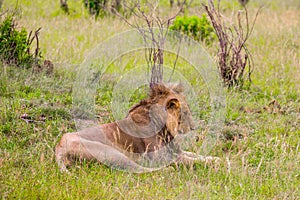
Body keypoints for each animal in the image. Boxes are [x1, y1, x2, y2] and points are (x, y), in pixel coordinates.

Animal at [54, 82, 218, 173]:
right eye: (185, 112)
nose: (194, 127)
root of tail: (59, 147)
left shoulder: (176, 152)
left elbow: (197, 155)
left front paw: (217, 158)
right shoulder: (161, 157)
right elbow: (193, 161)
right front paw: (219, 164)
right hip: (113, 154)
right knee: (143, 170)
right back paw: (168, 170)